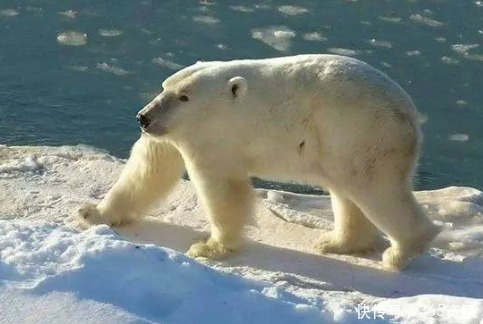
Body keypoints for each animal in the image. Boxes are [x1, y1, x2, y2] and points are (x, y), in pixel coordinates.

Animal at [78, 54, 442, 270]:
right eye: (164, 86)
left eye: (184, 96)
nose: (144, 117)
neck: (227, 105)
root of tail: (410, 113)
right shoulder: (174, 131)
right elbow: (150, 167)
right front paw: (93, 213)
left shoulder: (213, 136)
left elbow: (222, 189)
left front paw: (209, 247)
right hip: (339, 144)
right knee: (346, 191)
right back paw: (337, 242)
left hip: (360, 134)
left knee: (374, 188)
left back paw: (400, 251)